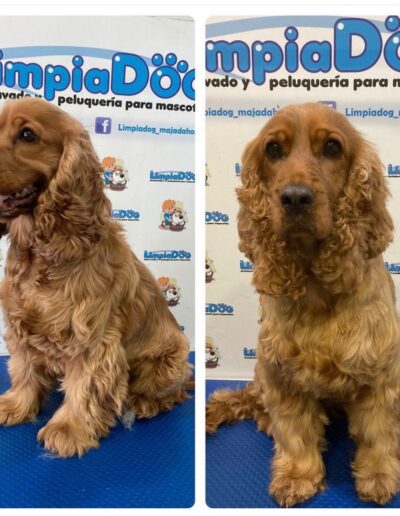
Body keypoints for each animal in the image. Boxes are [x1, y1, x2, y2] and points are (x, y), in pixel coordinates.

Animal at [0, 98, 192, 457]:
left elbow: (84, 386)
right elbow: (24, 370)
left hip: (170, 361)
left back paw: (143, 403)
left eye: (28, 134)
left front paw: (68, 429)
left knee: (174, 391)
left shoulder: (92, 339)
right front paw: (16, 405)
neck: (43, 250)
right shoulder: (21, 326)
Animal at [206, 103, 400, 506]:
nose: (295, 197)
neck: (318, 288)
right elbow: (295, 432)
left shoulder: (380, 372)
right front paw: (298, 475)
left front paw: (377, 475)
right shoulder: (283, 374)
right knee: (257, 401)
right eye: (273, 150)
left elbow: (377, 431)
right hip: (262, 372)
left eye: (332, 147)